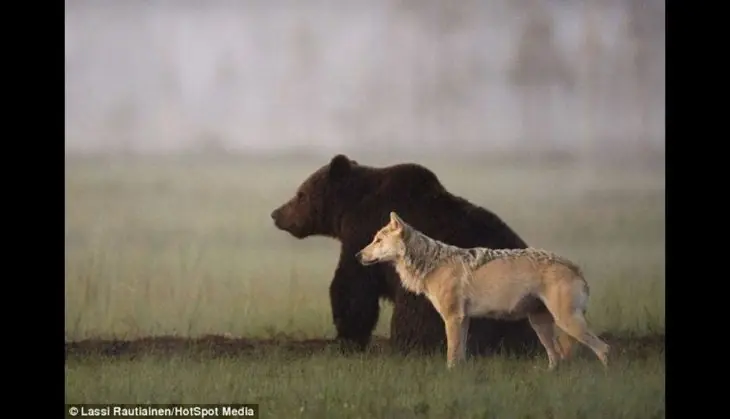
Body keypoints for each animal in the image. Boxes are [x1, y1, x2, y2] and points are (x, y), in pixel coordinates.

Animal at [270, 154, 542, 357]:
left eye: (301, 194)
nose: (276, 213)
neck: (349, 210)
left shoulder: (363, 234)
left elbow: (353, 288)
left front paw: (347, 339)